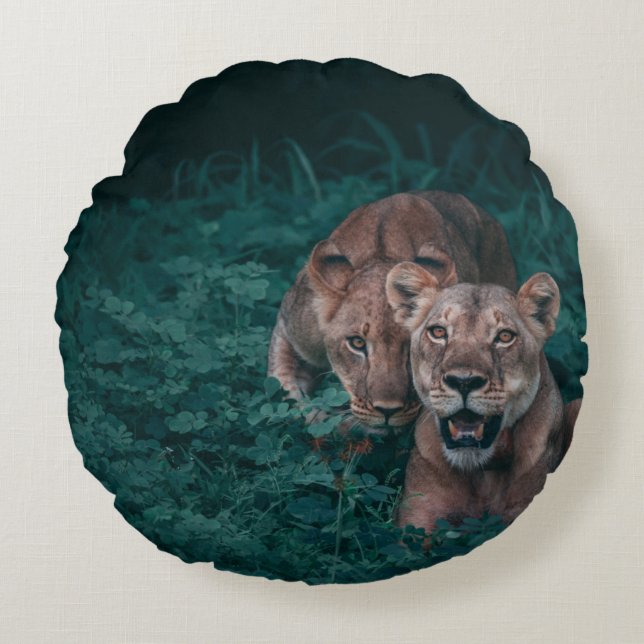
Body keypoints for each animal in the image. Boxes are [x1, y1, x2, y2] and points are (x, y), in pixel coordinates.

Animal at [267, 191, 517, 433]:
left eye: (412, 348)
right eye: (357, 343)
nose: (387, 410)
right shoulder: (293, 328)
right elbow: (283, 379)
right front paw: (312, 415)